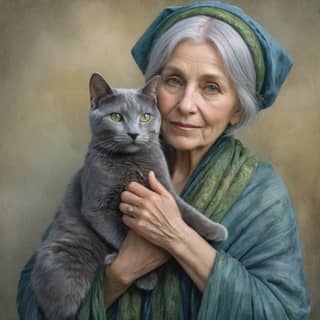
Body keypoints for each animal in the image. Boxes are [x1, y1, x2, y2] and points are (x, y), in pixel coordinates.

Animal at [31, 73, 228, 320]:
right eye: (116, 116)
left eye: (145, 116)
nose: (134, 133)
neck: (130, 163)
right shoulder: (97, 207)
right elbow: (122, 236)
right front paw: (146, 278)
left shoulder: (163, 187)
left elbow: (186, 209)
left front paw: (214, 229)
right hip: (65, 270)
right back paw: (110, 261)